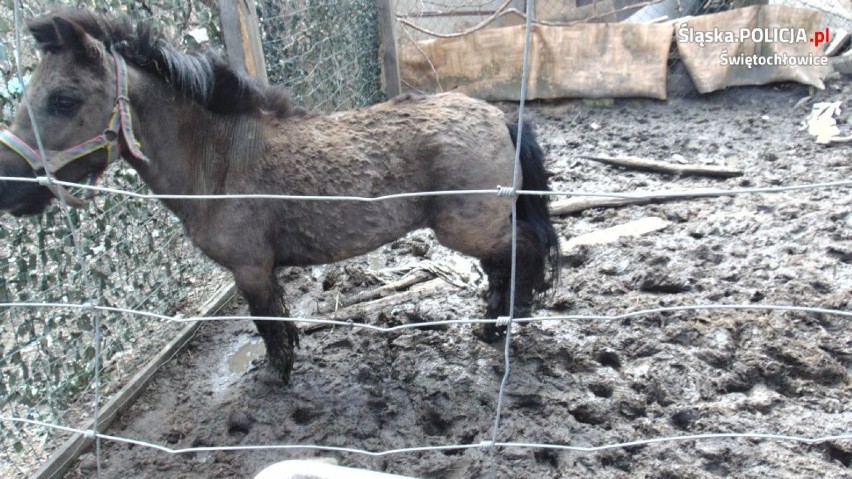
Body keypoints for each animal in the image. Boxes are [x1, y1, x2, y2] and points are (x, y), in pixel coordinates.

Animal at [0, 9, 560, 384]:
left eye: (63, 99)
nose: (8, 185)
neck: (220, 158)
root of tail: (499, 117)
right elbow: (278, 322)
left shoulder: (250, 269)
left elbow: (268, 326)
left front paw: (275, 377)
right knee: (504, 262)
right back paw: (494, 324)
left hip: (468, 228)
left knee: (523, 251)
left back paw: (506, 322)